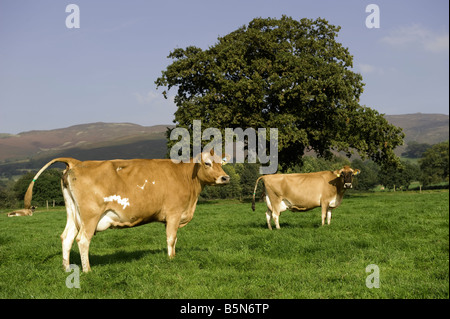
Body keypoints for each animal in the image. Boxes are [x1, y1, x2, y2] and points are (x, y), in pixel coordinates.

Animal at [22, 150, 230, 272]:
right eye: (207, 163)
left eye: (221, 163)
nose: (225, 178)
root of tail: (76, 162)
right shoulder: (174, 213)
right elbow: (171, 238)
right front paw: (171, 260)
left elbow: (174, 239)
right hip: (90, 215)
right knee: (82, 240)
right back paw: (87, 271)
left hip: (73, 213)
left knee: (67, 237)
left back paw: (67, 269)